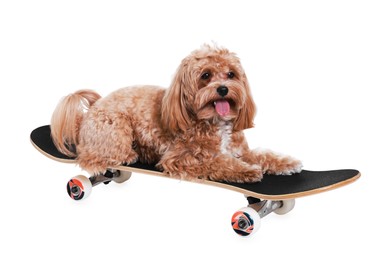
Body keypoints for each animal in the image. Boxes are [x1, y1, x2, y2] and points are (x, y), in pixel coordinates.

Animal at [50, 44, 302, 183]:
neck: (214, 122)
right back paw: (128, 156)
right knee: (92, 158)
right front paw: (246, 170)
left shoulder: (240, 150)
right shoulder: (180, 158)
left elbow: (262, 155)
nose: (223, 89)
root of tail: (86, 115)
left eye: (231, 74)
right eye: (206, 75)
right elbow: (217, 162)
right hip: (116, 128)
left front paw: (287, 162)